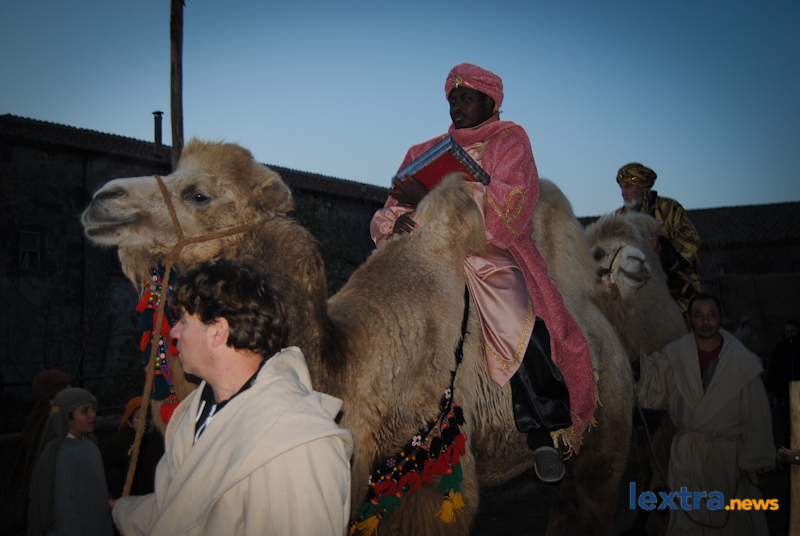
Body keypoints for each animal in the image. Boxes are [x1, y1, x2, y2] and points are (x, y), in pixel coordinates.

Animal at [82, 140, 633, 535]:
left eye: (198, 193)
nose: (99, 201)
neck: (352, 364)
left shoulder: (432, 480)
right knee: (560, 504)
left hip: (604, 448)